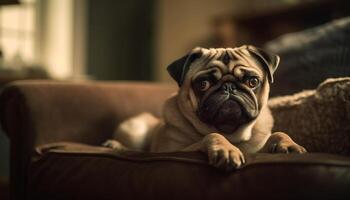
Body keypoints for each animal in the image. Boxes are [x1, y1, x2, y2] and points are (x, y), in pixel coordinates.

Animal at [104, 45, 306, 170]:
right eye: (203, 84)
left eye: (252, 81)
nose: (229, 87)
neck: (231, 133)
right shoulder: (177, 150)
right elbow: (212, 135)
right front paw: (226, 149)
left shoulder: (257, 148)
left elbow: (279, 133)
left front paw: (289, 144)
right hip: (134, 128)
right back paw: (115, 145)